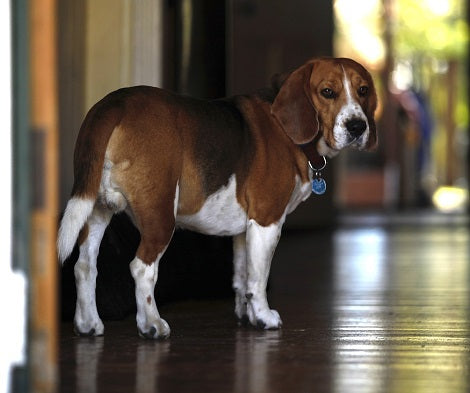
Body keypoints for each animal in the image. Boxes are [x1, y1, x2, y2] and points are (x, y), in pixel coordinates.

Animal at [57, 56, 378, 338]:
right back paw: (152, 325)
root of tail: (115, 103)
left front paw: (247, 316)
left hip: (96, 209)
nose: (358, 126)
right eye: (328, 92)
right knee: (141, 268)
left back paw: (88, 325)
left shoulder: (243, 231)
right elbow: (258, 279)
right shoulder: (266, 221)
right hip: (160, 216)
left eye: (363, 91)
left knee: (84, 267)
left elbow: (241, 277)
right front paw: (264, 317)